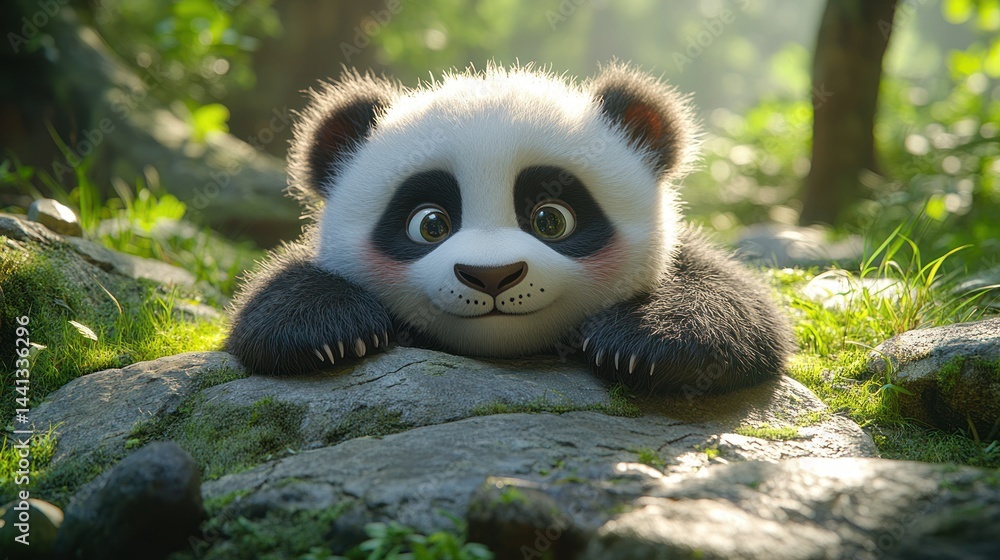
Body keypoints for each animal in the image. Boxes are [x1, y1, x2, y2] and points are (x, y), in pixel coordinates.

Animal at [226, 63, 795, 394]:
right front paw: (325, 330)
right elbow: (269, 308)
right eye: (430, 224)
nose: (492, 276)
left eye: (551, 219)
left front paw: (651, 342)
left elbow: (735, 306)